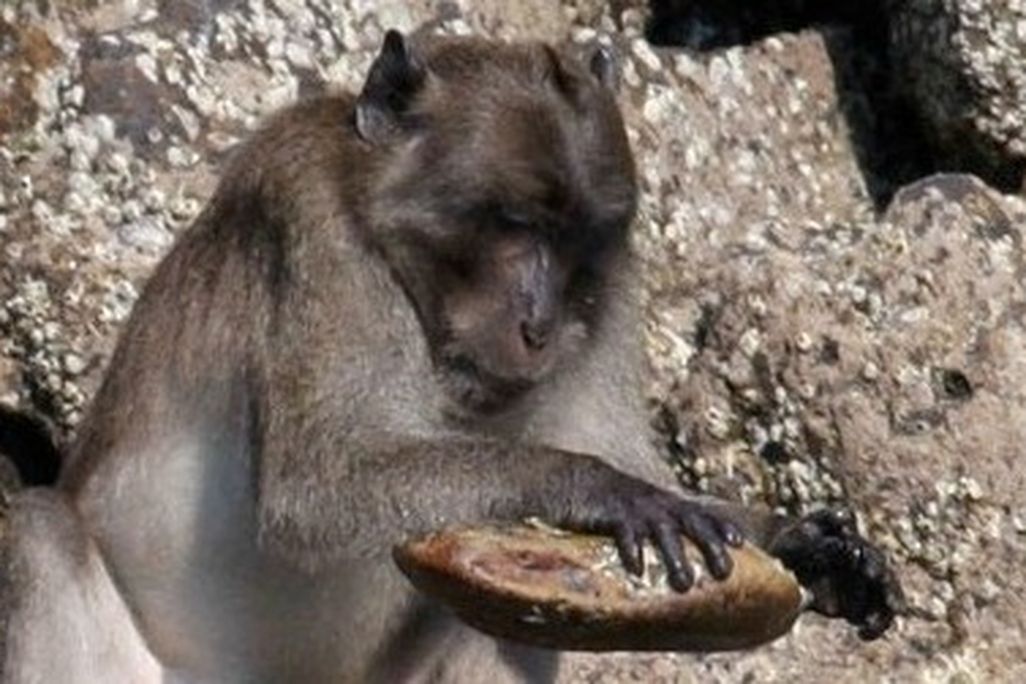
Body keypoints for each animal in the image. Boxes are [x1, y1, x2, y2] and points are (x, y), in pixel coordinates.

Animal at [2, 30, 902, 683]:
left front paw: (803, 543)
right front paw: (597, 488)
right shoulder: (312, 227)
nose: (541, 324)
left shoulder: (612, 291)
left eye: (575, 239)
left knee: (489, 613)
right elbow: (318, 489)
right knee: (38, 530)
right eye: (513, 223)